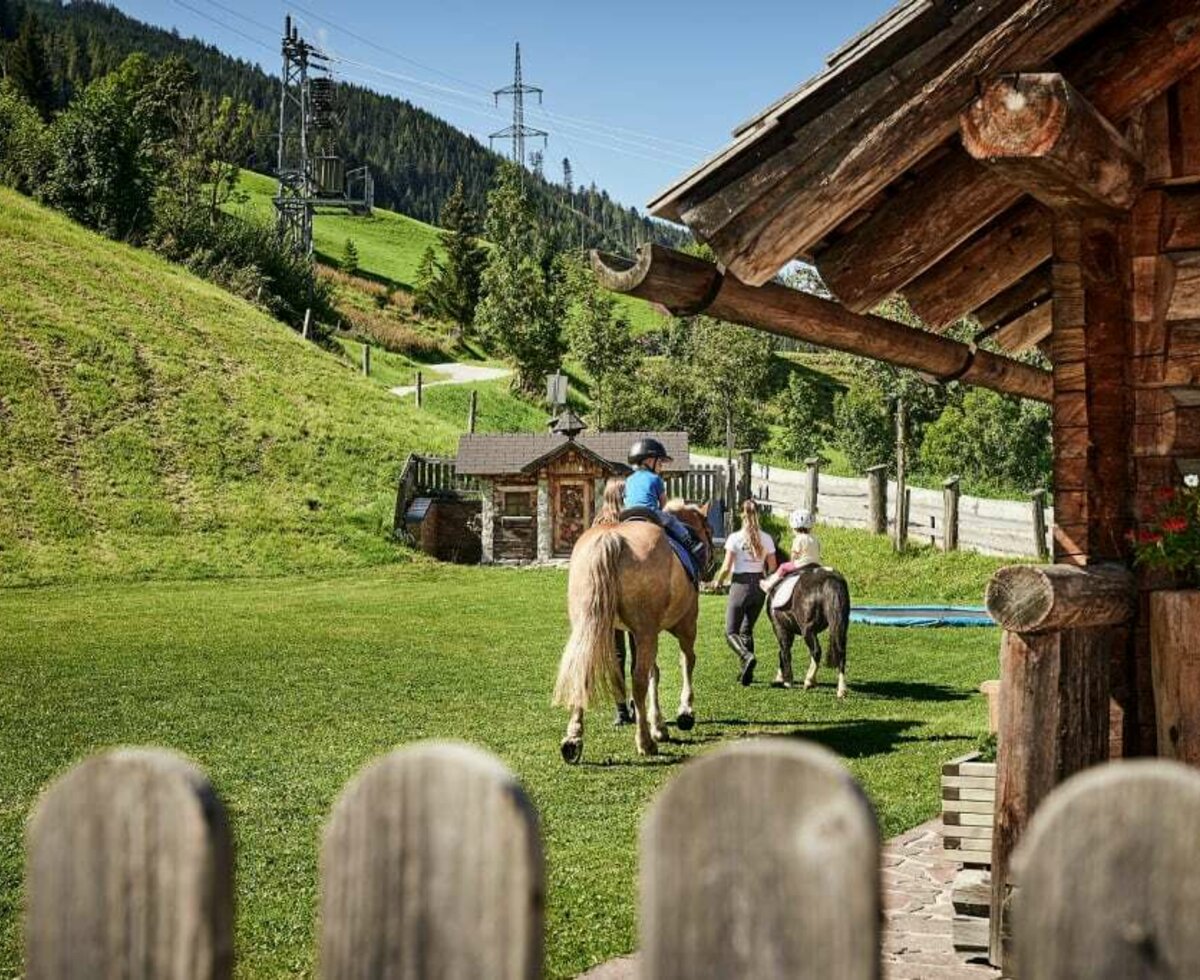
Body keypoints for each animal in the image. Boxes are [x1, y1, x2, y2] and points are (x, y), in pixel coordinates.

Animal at [554, 501, 710, 762]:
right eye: (707, 530)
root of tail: (612, 538)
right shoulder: (683, 624)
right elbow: (686, 661)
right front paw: (684, 712)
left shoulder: (638, 633)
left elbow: (654, 672)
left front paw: (659, 725)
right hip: (650, 631)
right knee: (639, 681)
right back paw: (645, 742)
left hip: (591, 627)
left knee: (583, 672)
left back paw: (573, 739)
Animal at [768, 566, 854, 695]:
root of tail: (831, 579)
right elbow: (782, 652)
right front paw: (781, 677)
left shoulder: (779, 627)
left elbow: (784, 652)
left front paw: (787, 681)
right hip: (841, 625)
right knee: (841, 652)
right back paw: (841, 690)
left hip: (807, 630)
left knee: (816, 651)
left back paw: (809, 681)